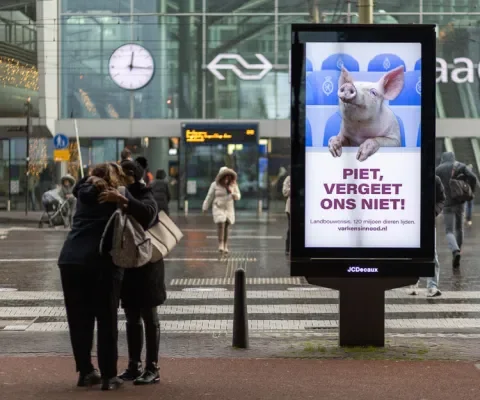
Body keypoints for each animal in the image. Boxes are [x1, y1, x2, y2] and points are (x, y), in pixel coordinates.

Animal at [306, 42, 422, 248]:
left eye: (374, 92)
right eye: (352, 86)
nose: (348, 87)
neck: (360, 131)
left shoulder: (394, 138)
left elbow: (377, 140)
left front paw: (360, 156)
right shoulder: (346, 135)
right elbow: (337, 139)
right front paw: (335, 150)